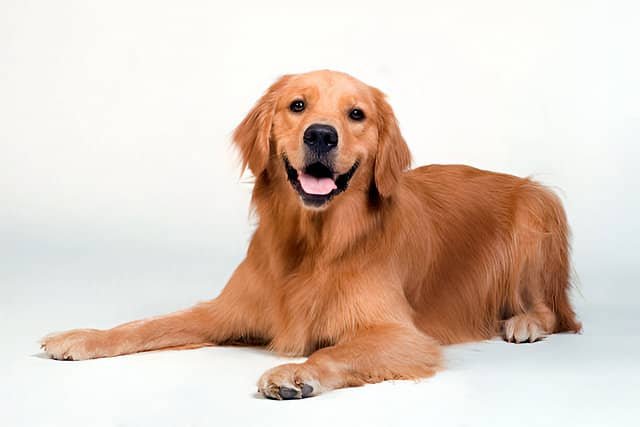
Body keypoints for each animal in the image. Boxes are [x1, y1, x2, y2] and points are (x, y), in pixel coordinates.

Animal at [38, 68, 580, 400]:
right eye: (297, 105)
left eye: (357, 114)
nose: (321, 134)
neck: (314, 244)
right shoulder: (225, 311)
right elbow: (146, 325)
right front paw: (83, 336)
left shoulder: (403, 336)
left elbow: (334, 349)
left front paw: (296, 373)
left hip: (538, 210)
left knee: (553, 311)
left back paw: (524, 322)